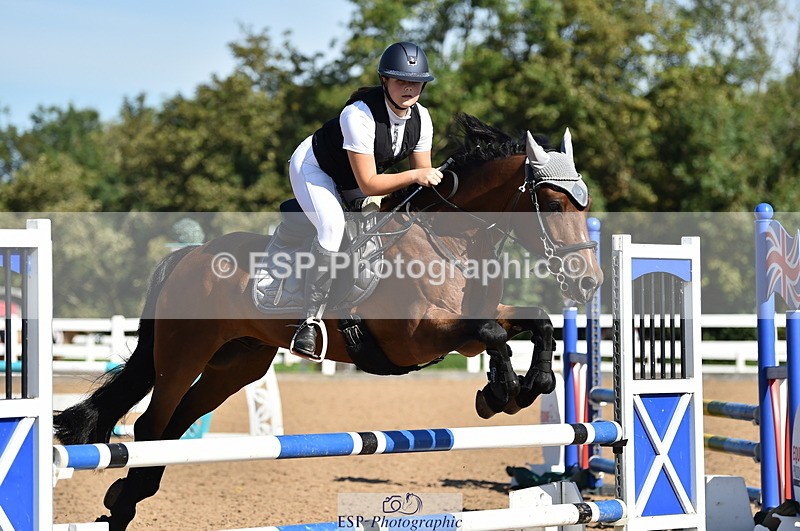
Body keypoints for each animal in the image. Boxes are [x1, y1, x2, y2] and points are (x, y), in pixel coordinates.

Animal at [53, 113, 602, 530]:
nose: (589, 284)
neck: (453, 242)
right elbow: (492, 335)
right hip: (184, 351)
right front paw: (501, 392)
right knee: (152, 423)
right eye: (552, 203)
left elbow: (536, 324)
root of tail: (190, 255)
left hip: (238, 363)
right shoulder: (418, 338)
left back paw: (128, 495)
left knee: (180, 420)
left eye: (585, 205)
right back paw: (123, 506)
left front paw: (528, 385)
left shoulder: (468, 330)